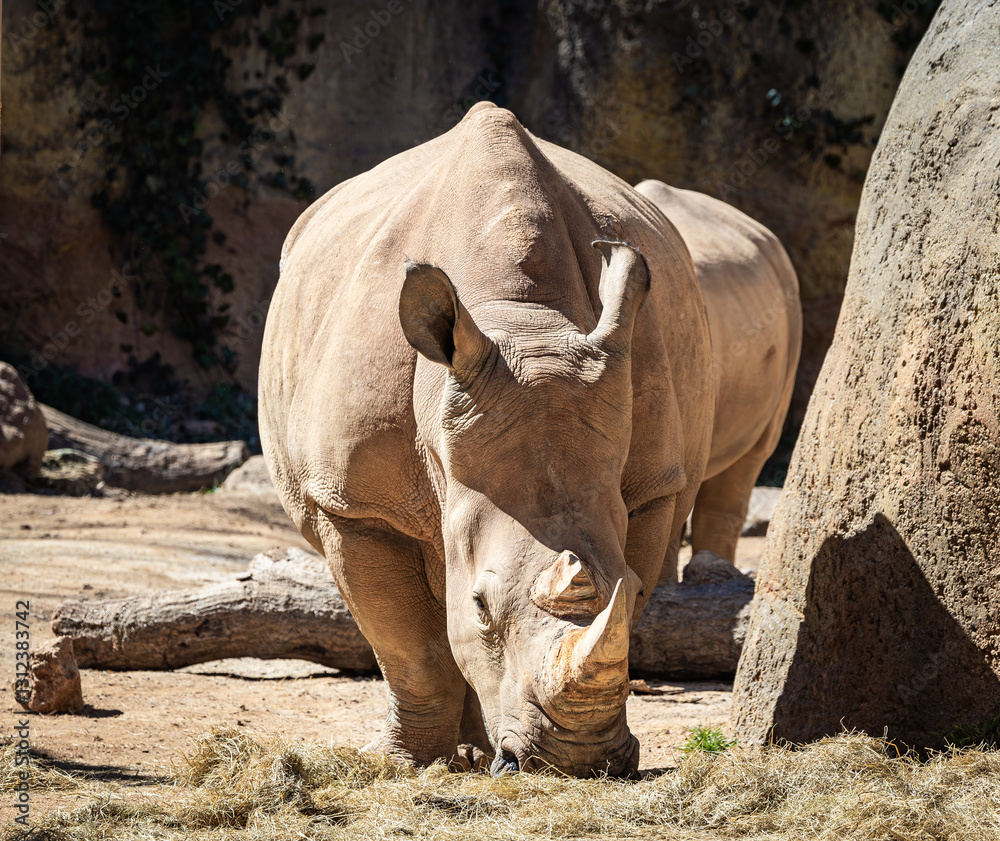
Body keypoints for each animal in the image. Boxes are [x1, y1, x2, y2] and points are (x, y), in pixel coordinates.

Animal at [259, 102, 793, 777]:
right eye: (483, 605)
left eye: (634, 587)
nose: (576, 763)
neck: (523, 321)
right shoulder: (353, 504)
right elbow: (412, 648)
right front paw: (407, 764)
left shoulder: (652, 483)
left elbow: (624, 595)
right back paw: (467, 752)